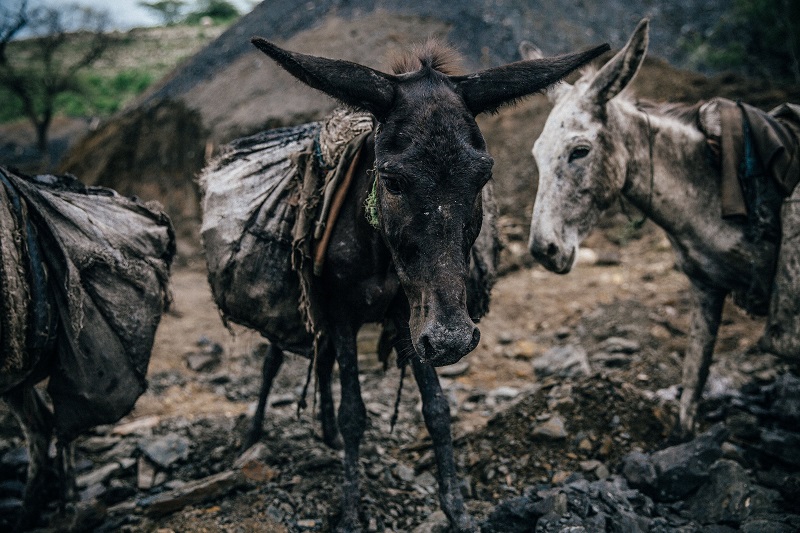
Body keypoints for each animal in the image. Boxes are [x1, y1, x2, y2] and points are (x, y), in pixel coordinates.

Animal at [201, 38, 609, 531]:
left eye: (483, 177)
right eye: (392, 180)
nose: (454, 339)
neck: (377, 246)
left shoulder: (409, 313)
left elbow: (436, 410)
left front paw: (456, 509)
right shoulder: (343, 310)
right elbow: (354, 412)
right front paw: (350, 512)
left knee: (323, 359)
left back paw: (326, 435)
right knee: (275, 362)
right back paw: (254, 437)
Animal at [525, 18, 798, 438]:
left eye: (580, 151)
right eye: (537, 155)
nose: (543, 250)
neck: (711, 191)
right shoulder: (705, 289)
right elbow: (692, 382)